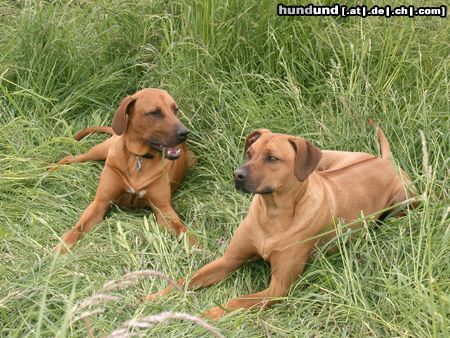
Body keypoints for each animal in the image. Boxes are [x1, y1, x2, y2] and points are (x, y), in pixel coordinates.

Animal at [51, 88, 197, 252]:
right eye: (155, 112)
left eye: (175, 110)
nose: (185, 133)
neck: (139, 157)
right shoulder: (101, 202)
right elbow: (77, 228)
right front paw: (60, 248)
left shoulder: (163, 209)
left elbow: (184, 230)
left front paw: (199, 248)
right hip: (97, 152)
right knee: (70, 158)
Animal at [146, 121, 416, 320]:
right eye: (250, 153)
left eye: (272, 158)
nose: (237, 174)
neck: (273, 215)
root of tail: (386, 160)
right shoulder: (228, 260)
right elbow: (186, 279)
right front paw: (154, 297)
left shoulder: (278, 288)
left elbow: (235, 301)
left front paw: (204, 316)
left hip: (405, 201)